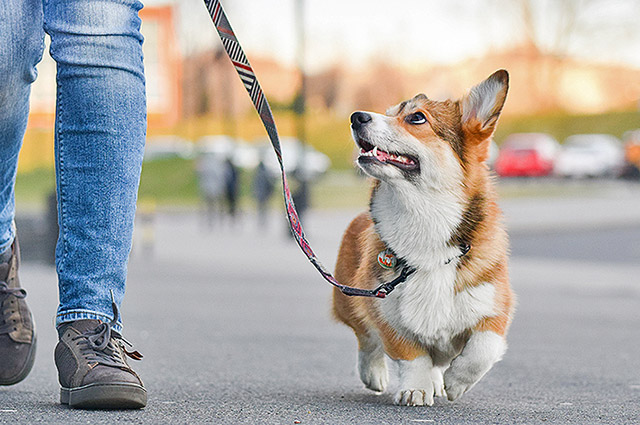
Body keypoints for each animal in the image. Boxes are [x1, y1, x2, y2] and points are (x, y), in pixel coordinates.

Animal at [332, 70, 512, 408]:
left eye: (416, 117)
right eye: (388, 113)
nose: (356, 116)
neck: (424, 217)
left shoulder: (495, 307)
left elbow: (483, 349)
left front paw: (456, 383)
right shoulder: (384, 309)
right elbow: (411, 355)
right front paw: (416, 388)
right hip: (349, 299)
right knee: (366, 338)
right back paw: (374, 374)